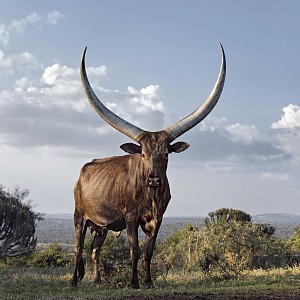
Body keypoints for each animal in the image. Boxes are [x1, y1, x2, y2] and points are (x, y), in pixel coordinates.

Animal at [70, 45, 225, 288]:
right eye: (142, 154)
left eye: (166, 154)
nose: (154, 180)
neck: (150, 195)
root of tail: (84, 170)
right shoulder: (131, 218)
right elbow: (134, 249)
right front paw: (134, 282)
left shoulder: (158, 219)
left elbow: (149, 251)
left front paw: (149, 281)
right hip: (79, 215)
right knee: (78, 248)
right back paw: (73, 281)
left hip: (101, 227)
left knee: (95, 251)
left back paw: (96, 281)